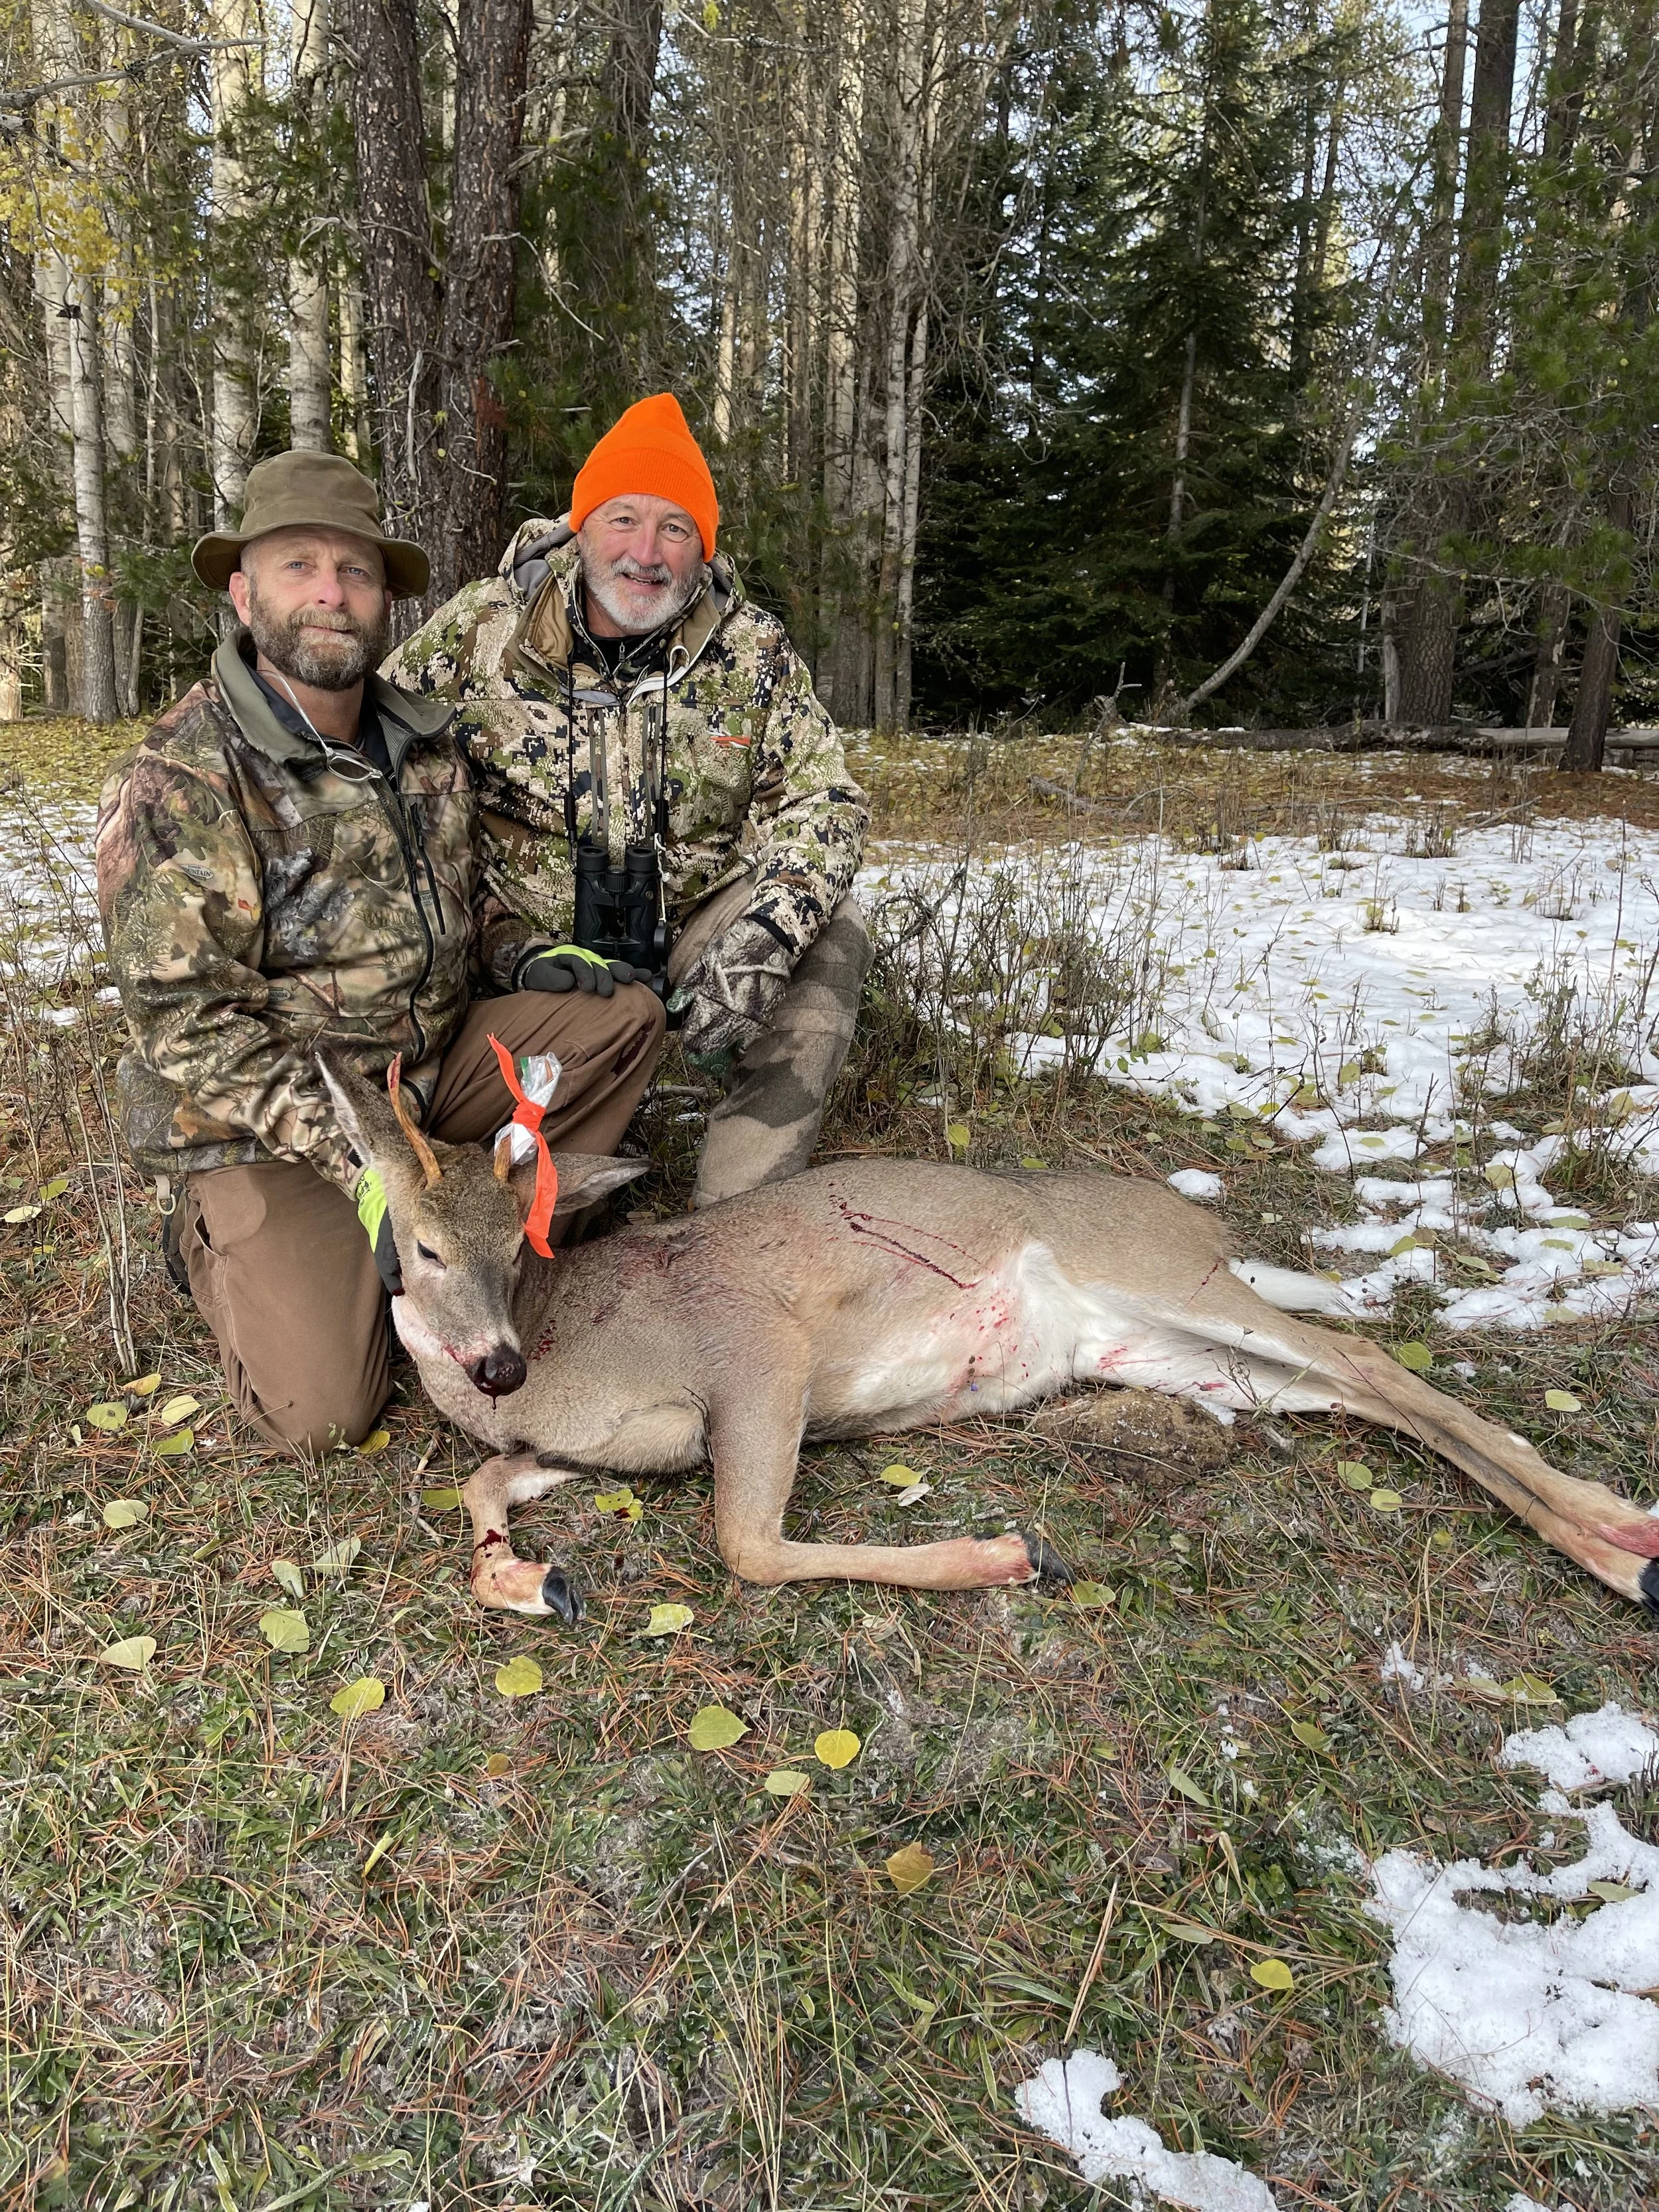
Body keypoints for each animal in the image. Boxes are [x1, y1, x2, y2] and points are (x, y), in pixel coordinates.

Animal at [318, 1050, 1659, 1628]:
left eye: (520, 1243)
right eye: (422, 1248)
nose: (497, 1361)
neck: (569, 1350)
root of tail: (1196, 1218)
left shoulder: (756, 1348)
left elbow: (748, 1545)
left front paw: (1009, 1554)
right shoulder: (594, 1443)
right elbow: (480, 1491)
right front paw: (530, 1576)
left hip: (1162, 1273)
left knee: (1372, 1355)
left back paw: (1625, 1536)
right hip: (1170, 1355)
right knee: (1354, 1386)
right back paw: (1622, 1553)